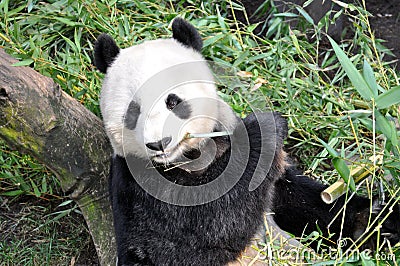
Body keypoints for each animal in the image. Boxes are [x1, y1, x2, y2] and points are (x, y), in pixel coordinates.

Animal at [94, 17, 400, 264]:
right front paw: (265, 128)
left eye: (173, 101)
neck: (189, 159)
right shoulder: (143, 190)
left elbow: (309, 207)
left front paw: (377, 222)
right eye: (133, 111)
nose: (159, 144)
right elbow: (203, 234)